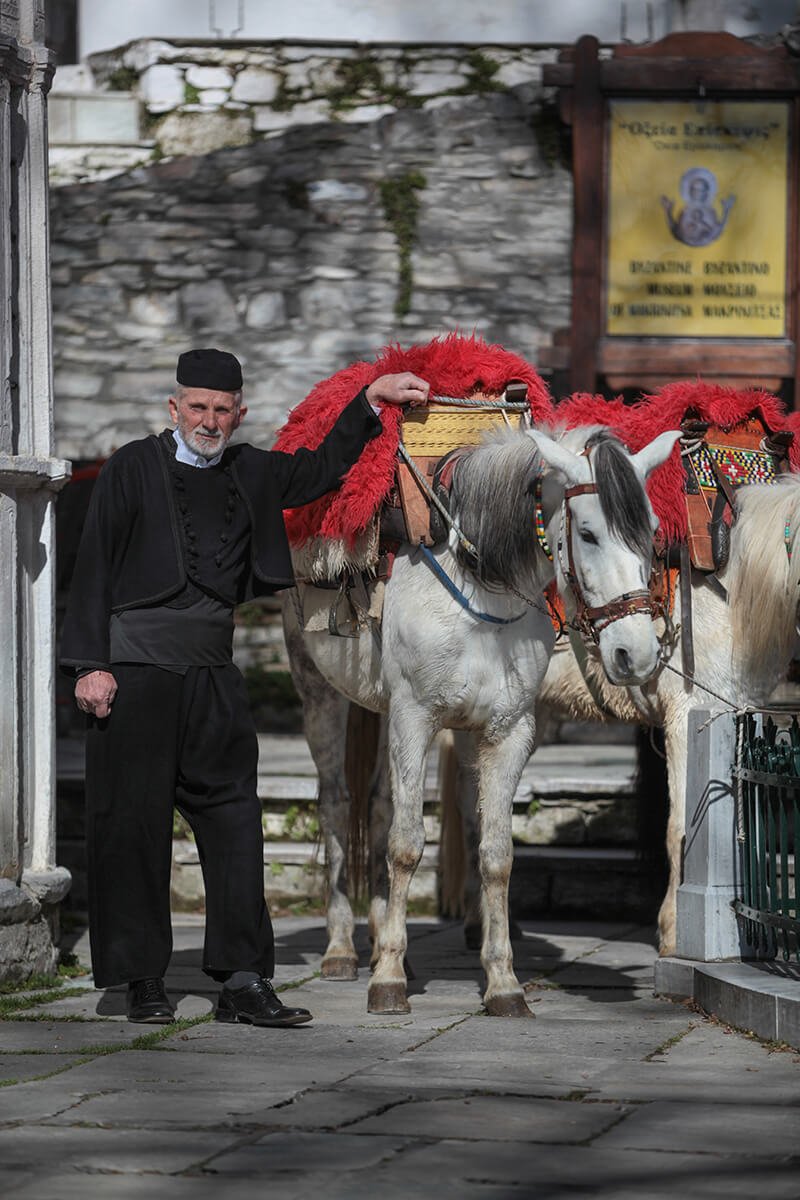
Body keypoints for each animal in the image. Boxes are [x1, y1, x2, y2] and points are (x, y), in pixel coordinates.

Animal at [284, 422, 681, 1012]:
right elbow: (407, 846)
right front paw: (389, 982)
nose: (635, 653)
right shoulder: (413, 719)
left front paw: (503, 983)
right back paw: (342, 951)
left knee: (378, 807)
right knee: (337, 803)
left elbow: (495, 853)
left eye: (651, 533)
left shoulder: (508, 729)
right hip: (318, 690)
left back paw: (381, 940)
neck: (478, 585)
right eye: (587, 534)